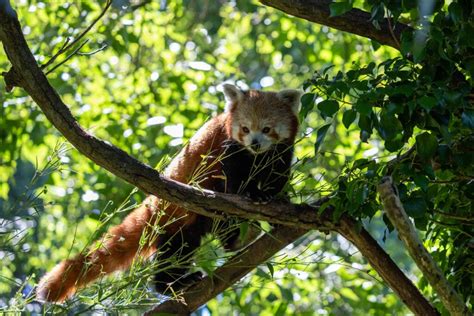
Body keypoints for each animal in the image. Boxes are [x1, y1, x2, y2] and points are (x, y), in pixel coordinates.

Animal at [36, 84, 300, 302]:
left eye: (267, 129)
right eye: (245, 129)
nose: (255, 143)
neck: (257, 156)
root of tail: (154, 202)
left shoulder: (280, 153)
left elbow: (276, 178)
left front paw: (277, 200)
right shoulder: (228, 150)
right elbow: (234, 181)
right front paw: (252, 194)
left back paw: (237, 239)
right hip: (177, 220)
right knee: (175, 254)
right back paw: (174, 283)